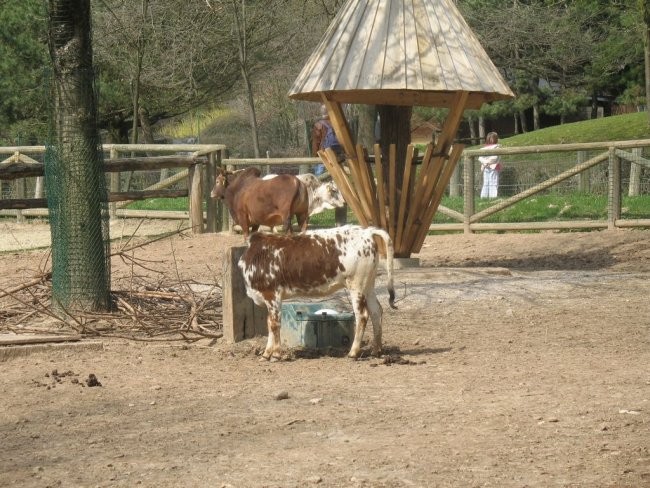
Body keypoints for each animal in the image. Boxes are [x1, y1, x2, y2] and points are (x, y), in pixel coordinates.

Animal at [235, 224, 392, 358]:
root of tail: (367, 231)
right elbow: (269, 324)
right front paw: (266, 353)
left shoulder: (272, 295)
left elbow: (274, 324)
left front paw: (276, 354)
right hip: (368, 284)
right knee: (376, 311)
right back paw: (376, 350)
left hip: (356, 285)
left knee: (362, 315)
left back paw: (353, 352)